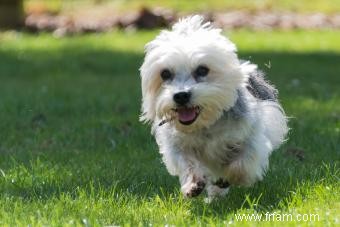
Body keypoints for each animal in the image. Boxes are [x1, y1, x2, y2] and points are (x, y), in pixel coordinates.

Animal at [139, 15, 288, 199]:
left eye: (202, 70)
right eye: (165, 73)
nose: (181, 95)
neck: (206, 125)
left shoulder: (251, 135)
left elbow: (242, 162)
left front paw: (229, 177)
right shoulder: (176, 145)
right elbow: (187, 162)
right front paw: (193, 184)